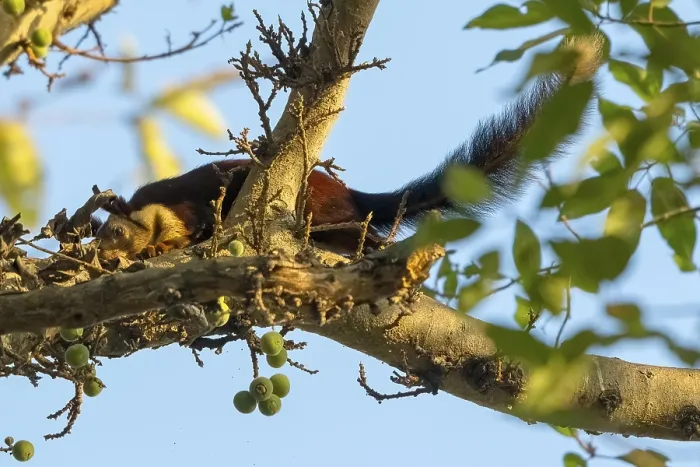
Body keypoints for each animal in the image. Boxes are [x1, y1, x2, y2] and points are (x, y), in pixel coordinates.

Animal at [92, 34, 604, 261]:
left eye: (114, 232)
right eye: (100, 238)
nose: (107, 253)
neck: (149, 216)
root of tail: (349, 195)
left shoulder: (184, 205)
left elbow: (195, 222)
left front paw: (171, 244)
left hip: (318, 211)